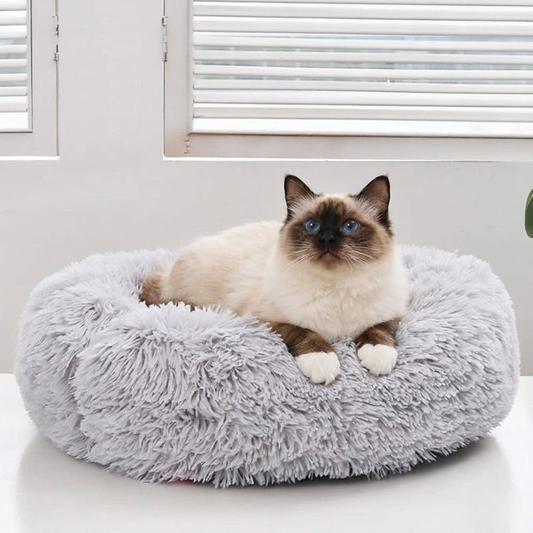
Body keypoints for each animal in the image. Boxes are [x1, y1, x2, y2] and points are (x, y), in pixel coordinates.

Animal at [140, 175, 409, 385]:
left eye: (350, 226)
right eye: (312, 226)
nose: (328, 239)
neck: (336, 287)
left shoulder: (393, 312)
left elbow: (379, 330)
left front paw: (377, 357)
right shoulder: (266, 320)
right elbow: (305, 333)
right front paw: (323, 362)